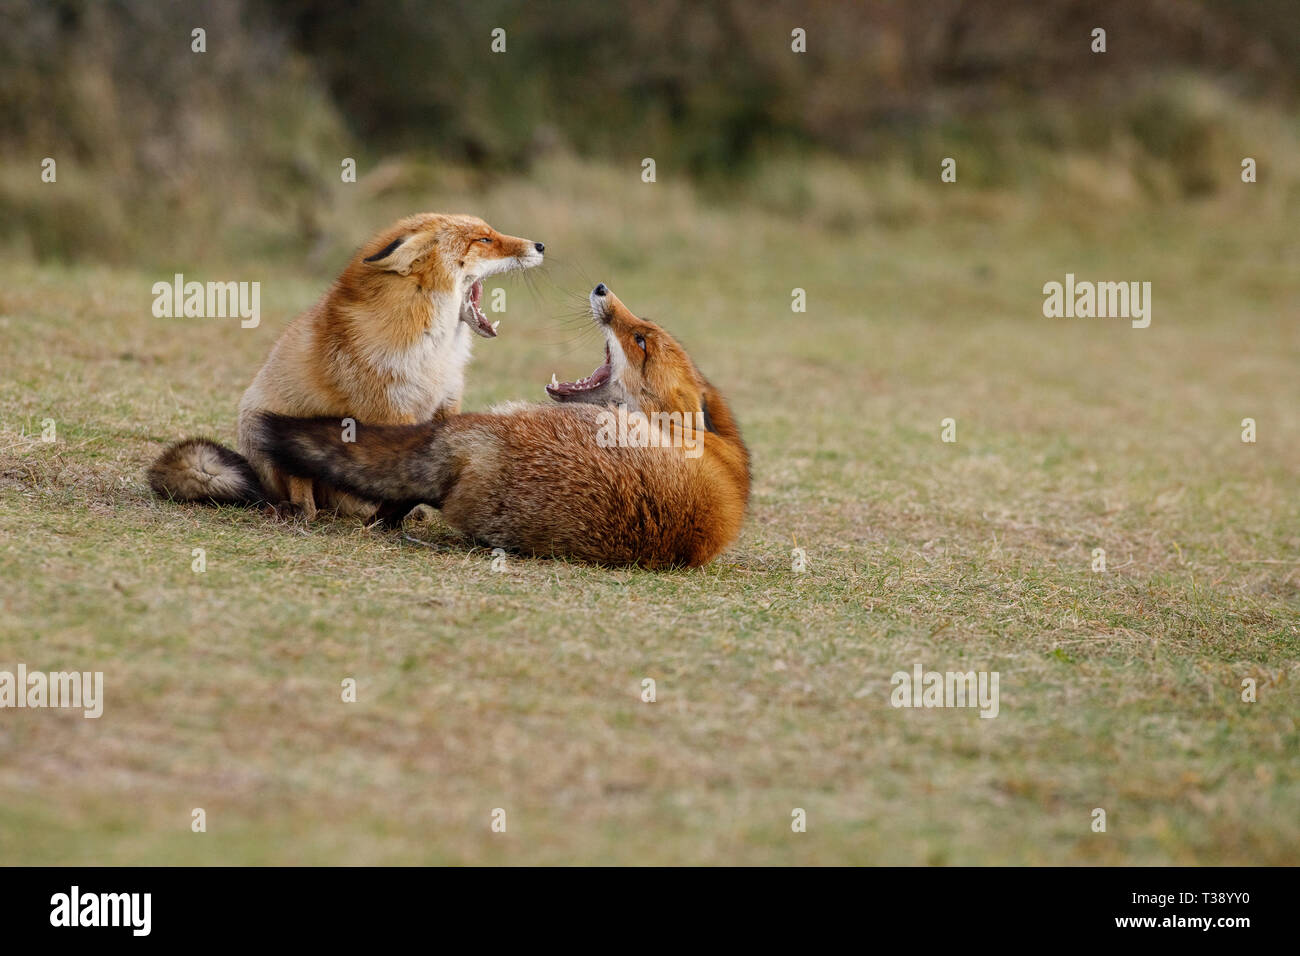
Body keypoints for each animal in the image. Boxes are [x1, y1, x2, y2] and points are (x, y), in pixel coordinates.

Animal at [147, 213, 545, 520]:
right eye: (484, 239)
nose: (540, 245)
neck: (437, 352)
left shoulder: (446, 403)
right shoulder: (391, 411)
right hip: (269, 425)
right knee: (300, 493)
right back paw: (300, 513)